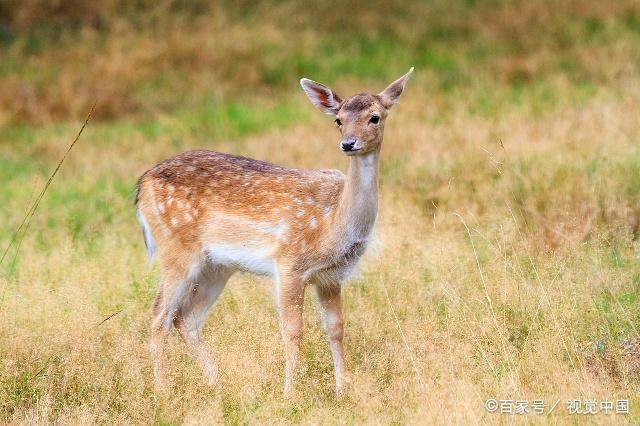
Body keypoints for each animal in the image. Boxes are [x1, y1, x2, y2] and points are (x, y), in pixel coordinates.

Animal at [135, 68, 414, 396]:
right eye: (338, 120)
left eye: (375, 117)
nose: (349, 143)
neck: (333, 224)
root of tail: (142, 185)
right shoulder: (289, 264)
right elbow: (293, 331)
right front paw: (289, 393)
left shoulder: (331, 276)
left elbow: (336, 329)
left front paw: (342, 390)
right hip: (176, 248)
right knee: (158, 314)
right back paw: (162, 391)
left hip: (217, 265)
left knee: (185, 318)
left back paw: (219, 387)